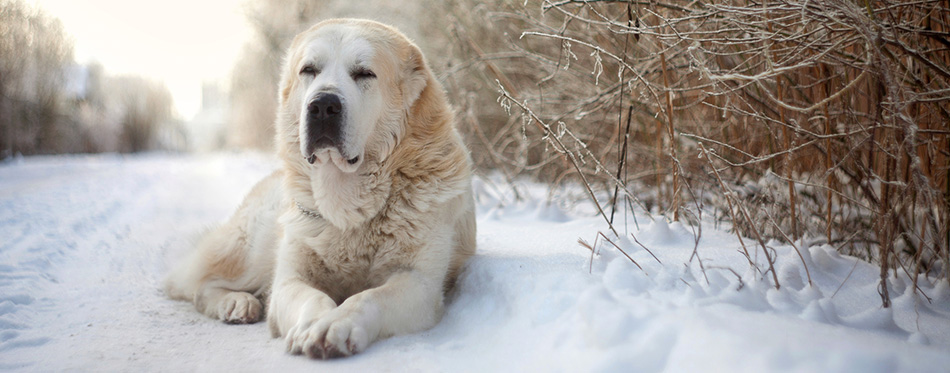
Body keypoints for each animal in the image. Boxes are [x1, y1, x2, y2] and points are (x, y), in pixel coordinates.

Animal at [165, 18, 476, 358]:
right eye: (309, 70)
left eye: (364, 73)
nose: (323, 105)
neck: (347, 203)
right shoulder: (290, 279)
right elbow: (312, 297)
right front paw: (314, 323)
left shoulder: (418, 282)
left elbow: (367, 297)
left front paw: (336, 324)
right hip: (254, 244)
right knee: (200, 284)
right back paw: (237, 302)